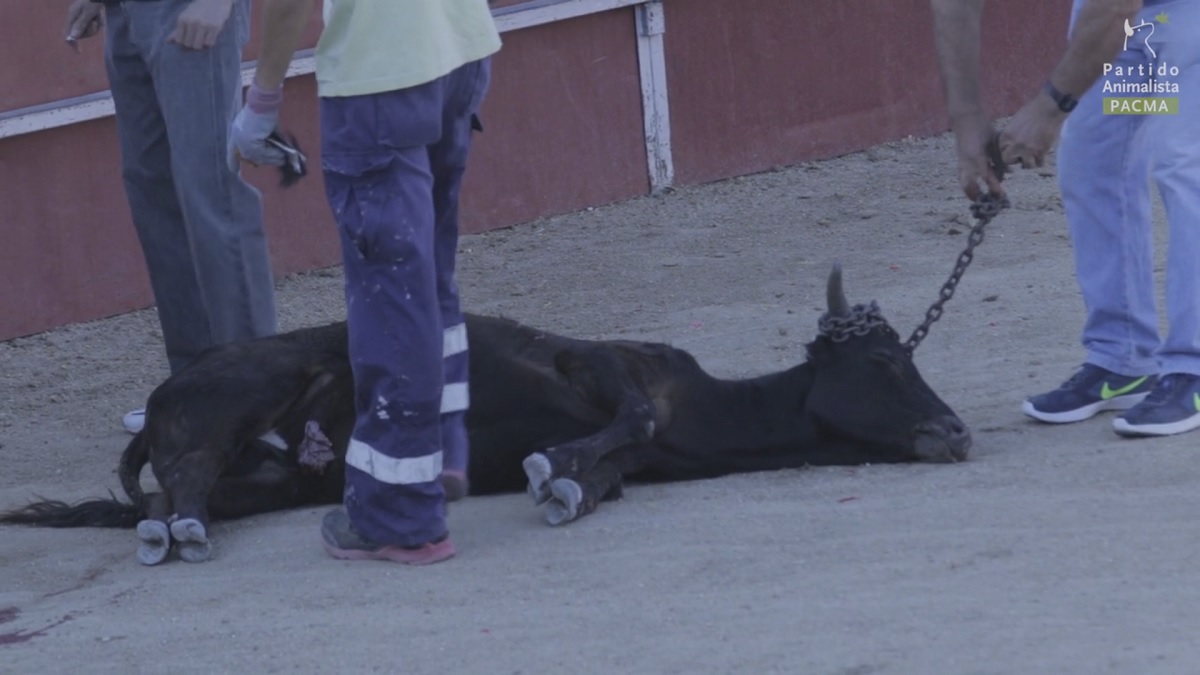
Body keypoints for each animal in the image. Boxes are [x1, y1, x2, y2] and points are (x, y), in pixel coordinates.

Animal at [0, 264, 969, 562]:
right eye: (886, 359)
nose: (957, 430)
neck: (706, 408)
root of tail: (162, 395)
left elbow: (608, 472)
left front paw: (566, 483)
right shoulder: (599, 362)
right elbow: (627, 419)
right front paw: (552, 467)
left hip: (271, 475)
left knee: (169, 492)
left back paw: (171, 524)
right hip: (233, 397)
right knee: (184, 475)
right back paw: (181, 530)